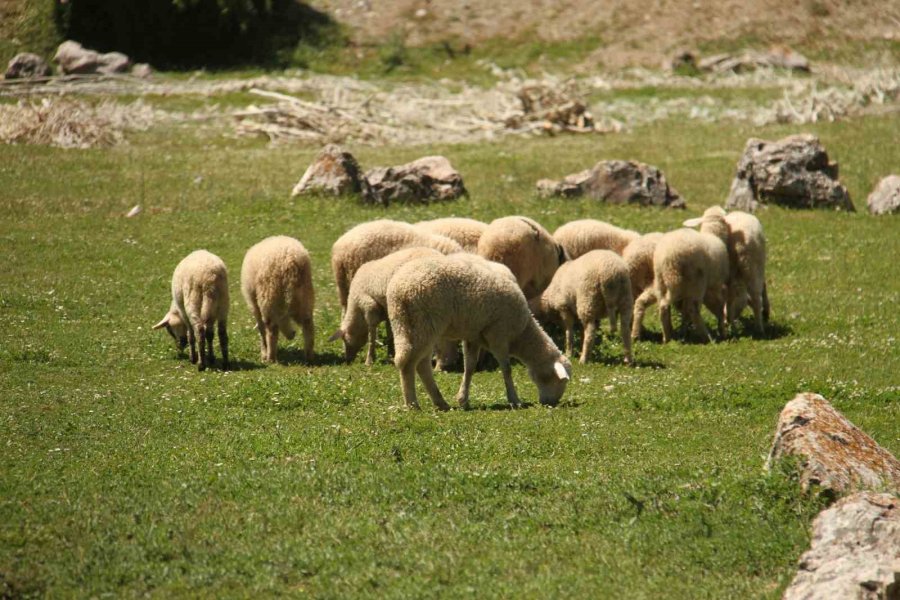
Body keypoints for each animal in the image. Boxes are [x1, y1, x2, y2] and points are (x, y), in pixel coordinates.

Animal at [384, 255, 568, 410]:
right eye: (557, 380)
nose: (551, 403)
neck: (521, 333)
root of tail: (400, 289)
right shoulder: (498, 334)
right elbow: (506, 368)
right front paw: (514, 399)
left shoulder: (473, 335)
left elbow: (470, 367)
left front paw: (463, 399)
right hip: (424, 324)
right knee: (408, 363)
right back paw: (413, 404)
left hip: (406, 325)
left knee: (420, 364)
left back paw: (440, 402)